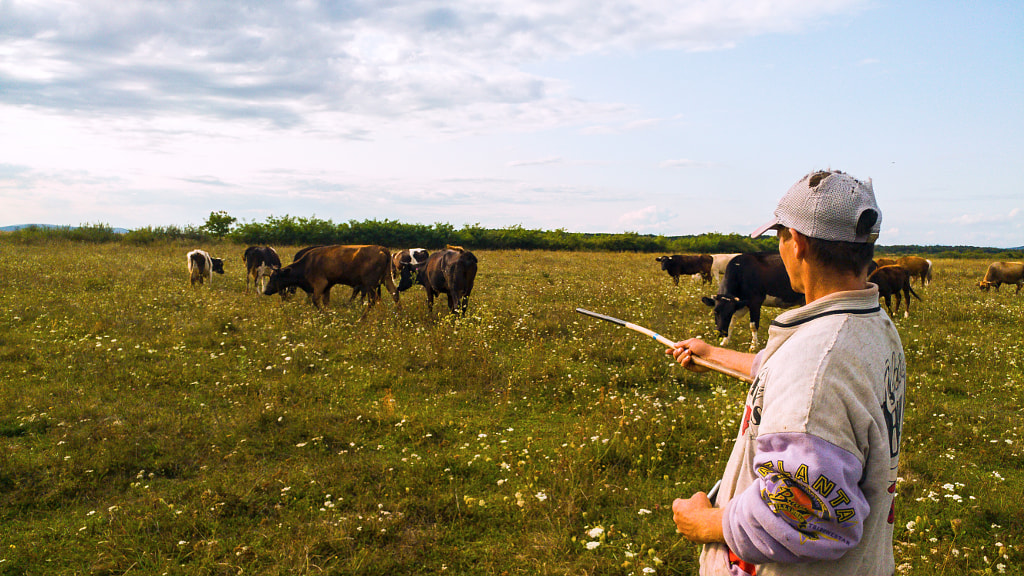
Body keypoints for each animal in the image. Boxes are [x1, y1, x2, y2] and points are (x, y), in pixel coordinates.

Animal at [264, 242, 399, 313]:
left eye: (275, 277)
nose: (266, 291)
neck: (307, 263)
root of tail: (382, 249)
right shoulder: (327, 286)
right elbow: (325, 301)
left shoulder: (320, 283)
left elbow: (315, 300)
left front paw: (323, 313)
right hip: (386, 279)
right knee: (395, 294)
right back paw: (399, 314)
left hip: (370, 283)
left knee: (373, 300)